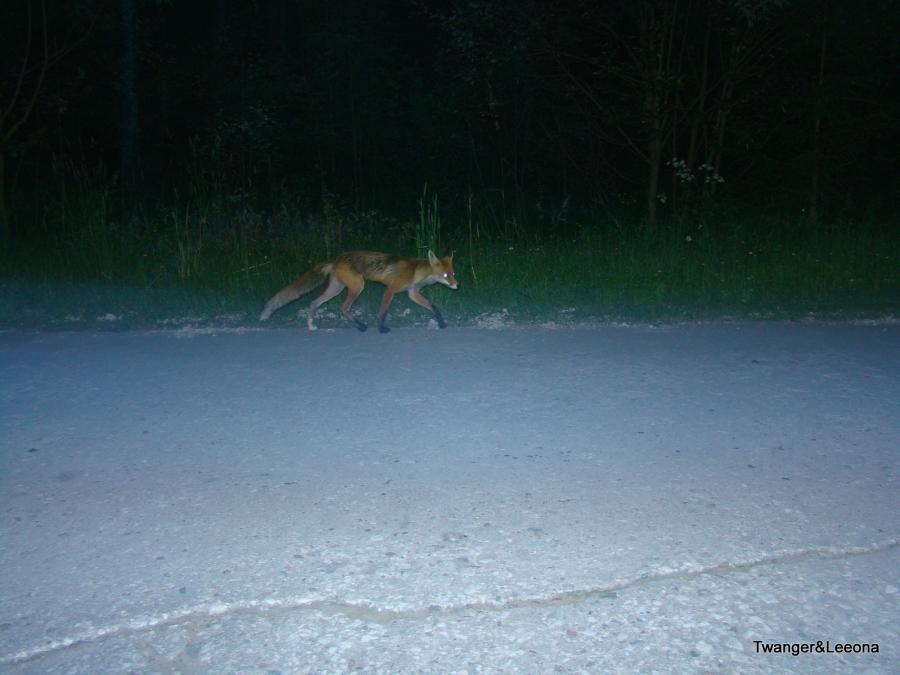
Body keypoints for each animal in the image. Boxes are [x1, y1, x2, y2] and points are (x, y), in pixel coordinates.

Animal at [258, 251, 458, 332]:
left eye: (453, 274)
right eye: (445, 275)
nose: (456, 285)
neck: (415, 272)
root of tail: (336, 258)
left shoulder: (412, 293)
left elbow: (433, 306)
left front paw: (441, 323)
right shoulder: (391, 289)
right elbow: (383, 311)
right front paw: (381, 328)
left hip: (336, 289)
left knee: (314, 302)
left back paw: (311, 326)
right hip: (356, 287)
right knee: (343, 307)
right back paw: (361, 326)